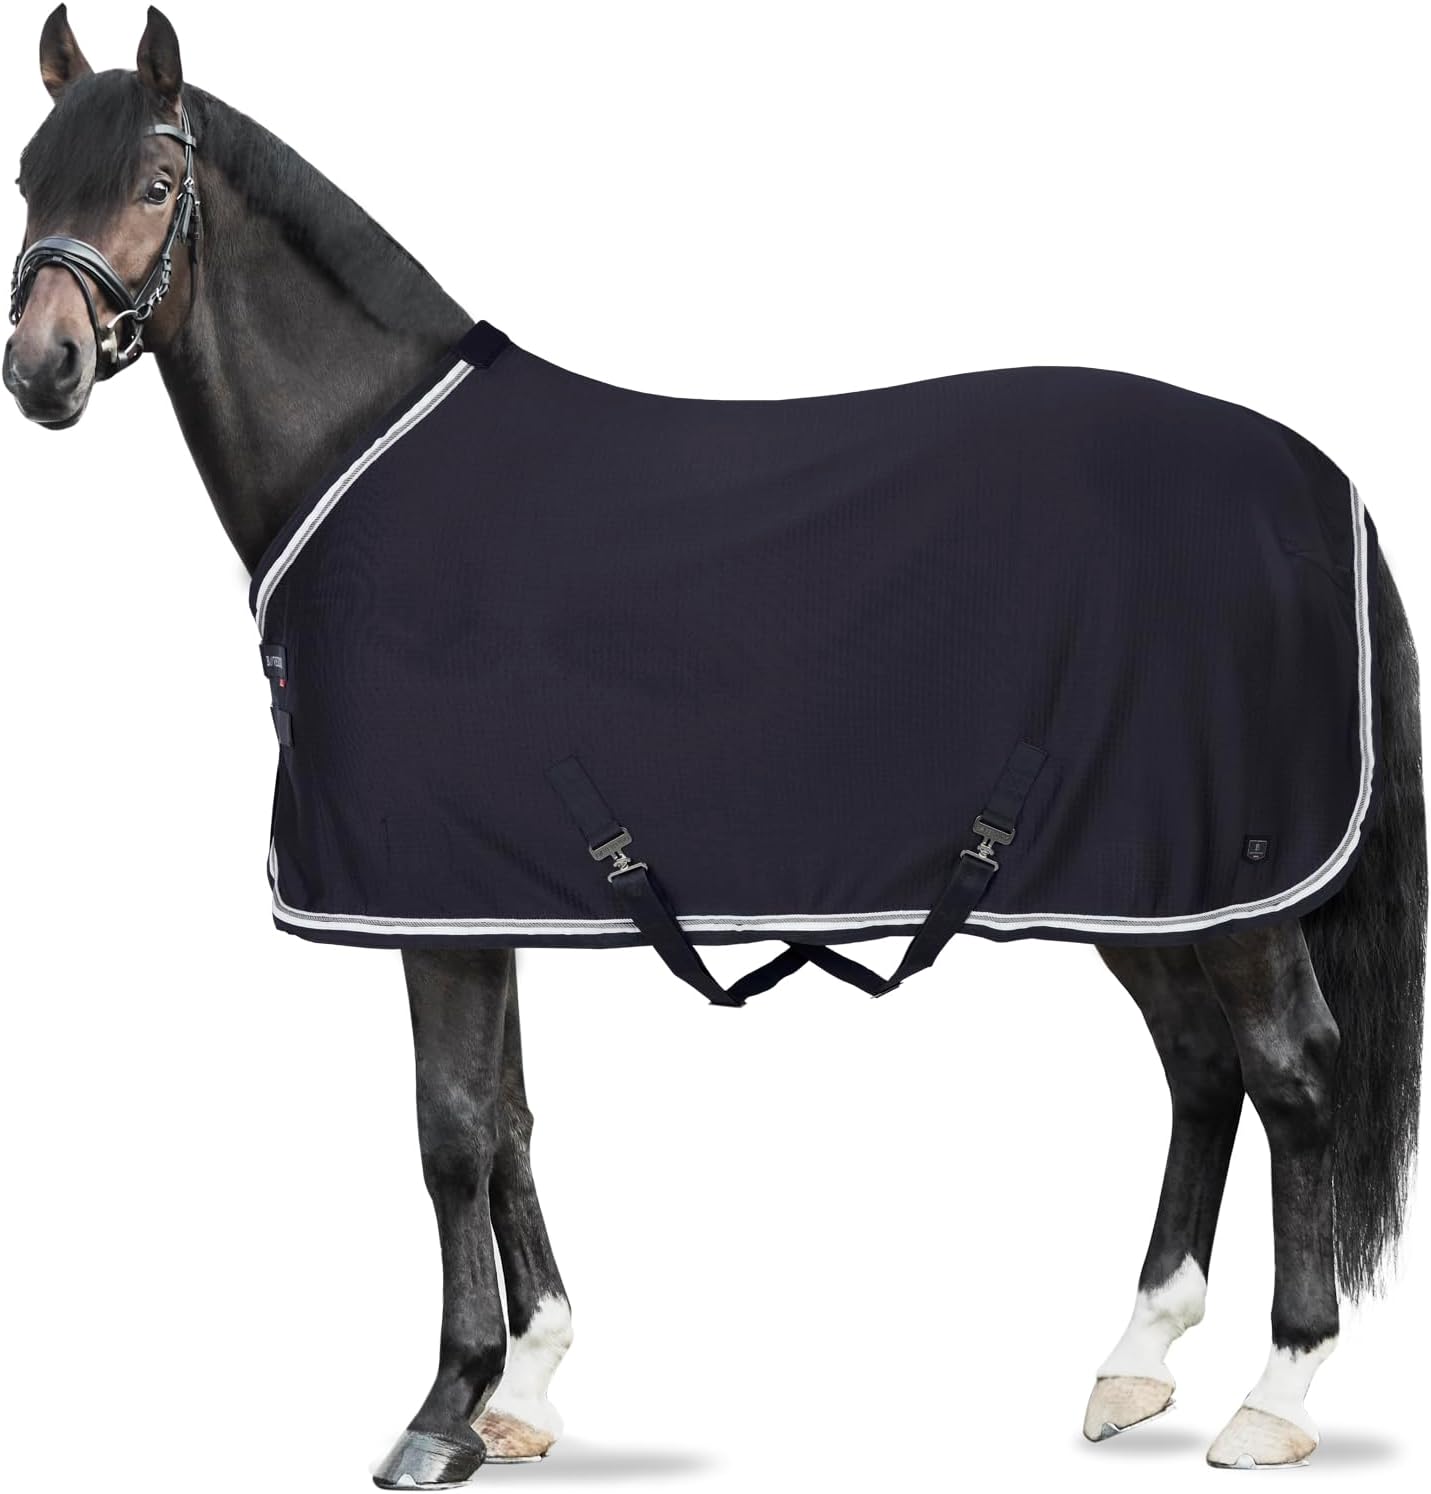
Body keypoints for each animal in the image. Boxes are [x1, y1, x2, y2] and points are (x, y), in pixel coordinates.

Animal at [6, 7, 1424, 1485]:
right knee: (1201, 1069)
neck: (363, 456)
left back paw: (1277, 1391)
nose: (41, 369)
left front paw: (444, 1405)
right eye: (29, 181)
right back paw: (1137, 1358)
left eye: (152, 186)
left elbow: (449, 1131)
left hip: (1226, 886)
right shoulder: (485, 893)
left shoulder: (427, 910)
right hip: (1137, 877)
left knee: (1293, 1073)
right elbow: (510, 1117)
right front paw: (528, 1385)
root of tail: (1320, 484)